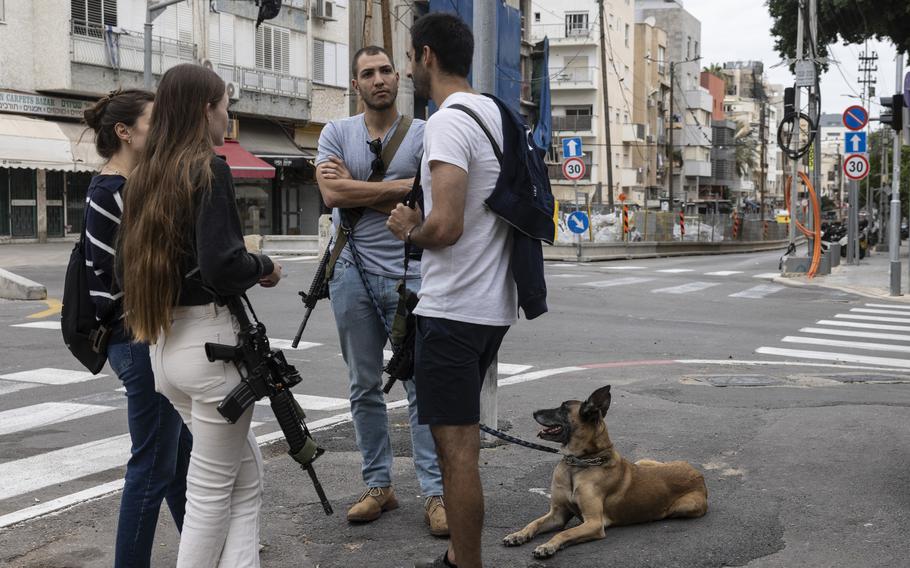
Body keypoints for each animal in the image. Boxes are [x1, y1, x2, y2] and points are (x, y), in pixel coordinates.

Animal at [502, 386, 708, 560]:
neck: (579, 463)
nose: (534, 412)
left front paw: (548, 546)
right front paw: (518, 534)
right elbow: (534, 523)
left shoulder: (594, 523)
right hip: (643, 460)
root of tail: (697, 473)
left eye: (563, 408)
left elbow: (565, 532)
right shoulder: (557, 514)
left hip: (685, 506)